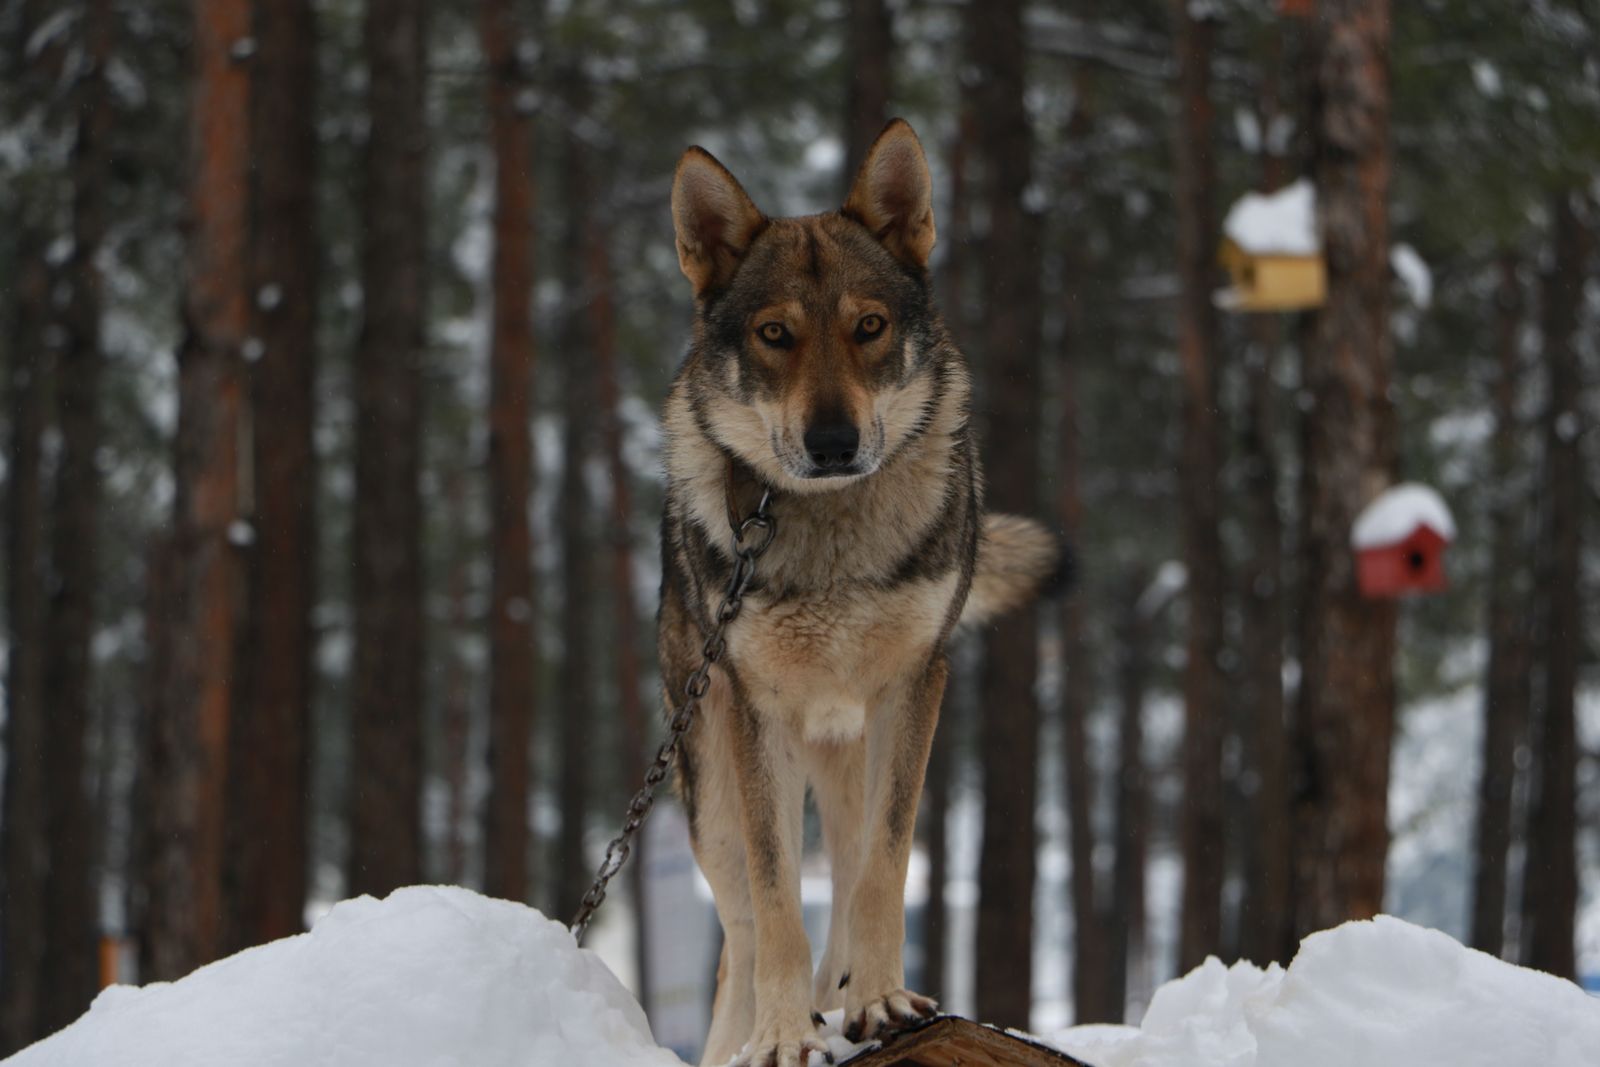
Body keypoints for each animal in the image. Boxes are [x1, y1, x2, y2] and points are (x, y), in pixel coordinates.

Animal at [659, 119, 1060, 1067]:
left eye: (869, 327)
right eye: (775, 334)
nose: (834, 441)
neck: (835, 540)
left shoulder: (913, 689)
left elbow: (885, 864)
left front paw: (878, 1000)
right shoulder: (754, 712)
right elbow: (776, 901)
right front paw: (779, 1036)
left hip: (847, 754)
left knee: (840, 882)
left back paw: (838, 994)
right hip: (710, 794)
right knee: (738, 934)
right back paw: (747, 1035)